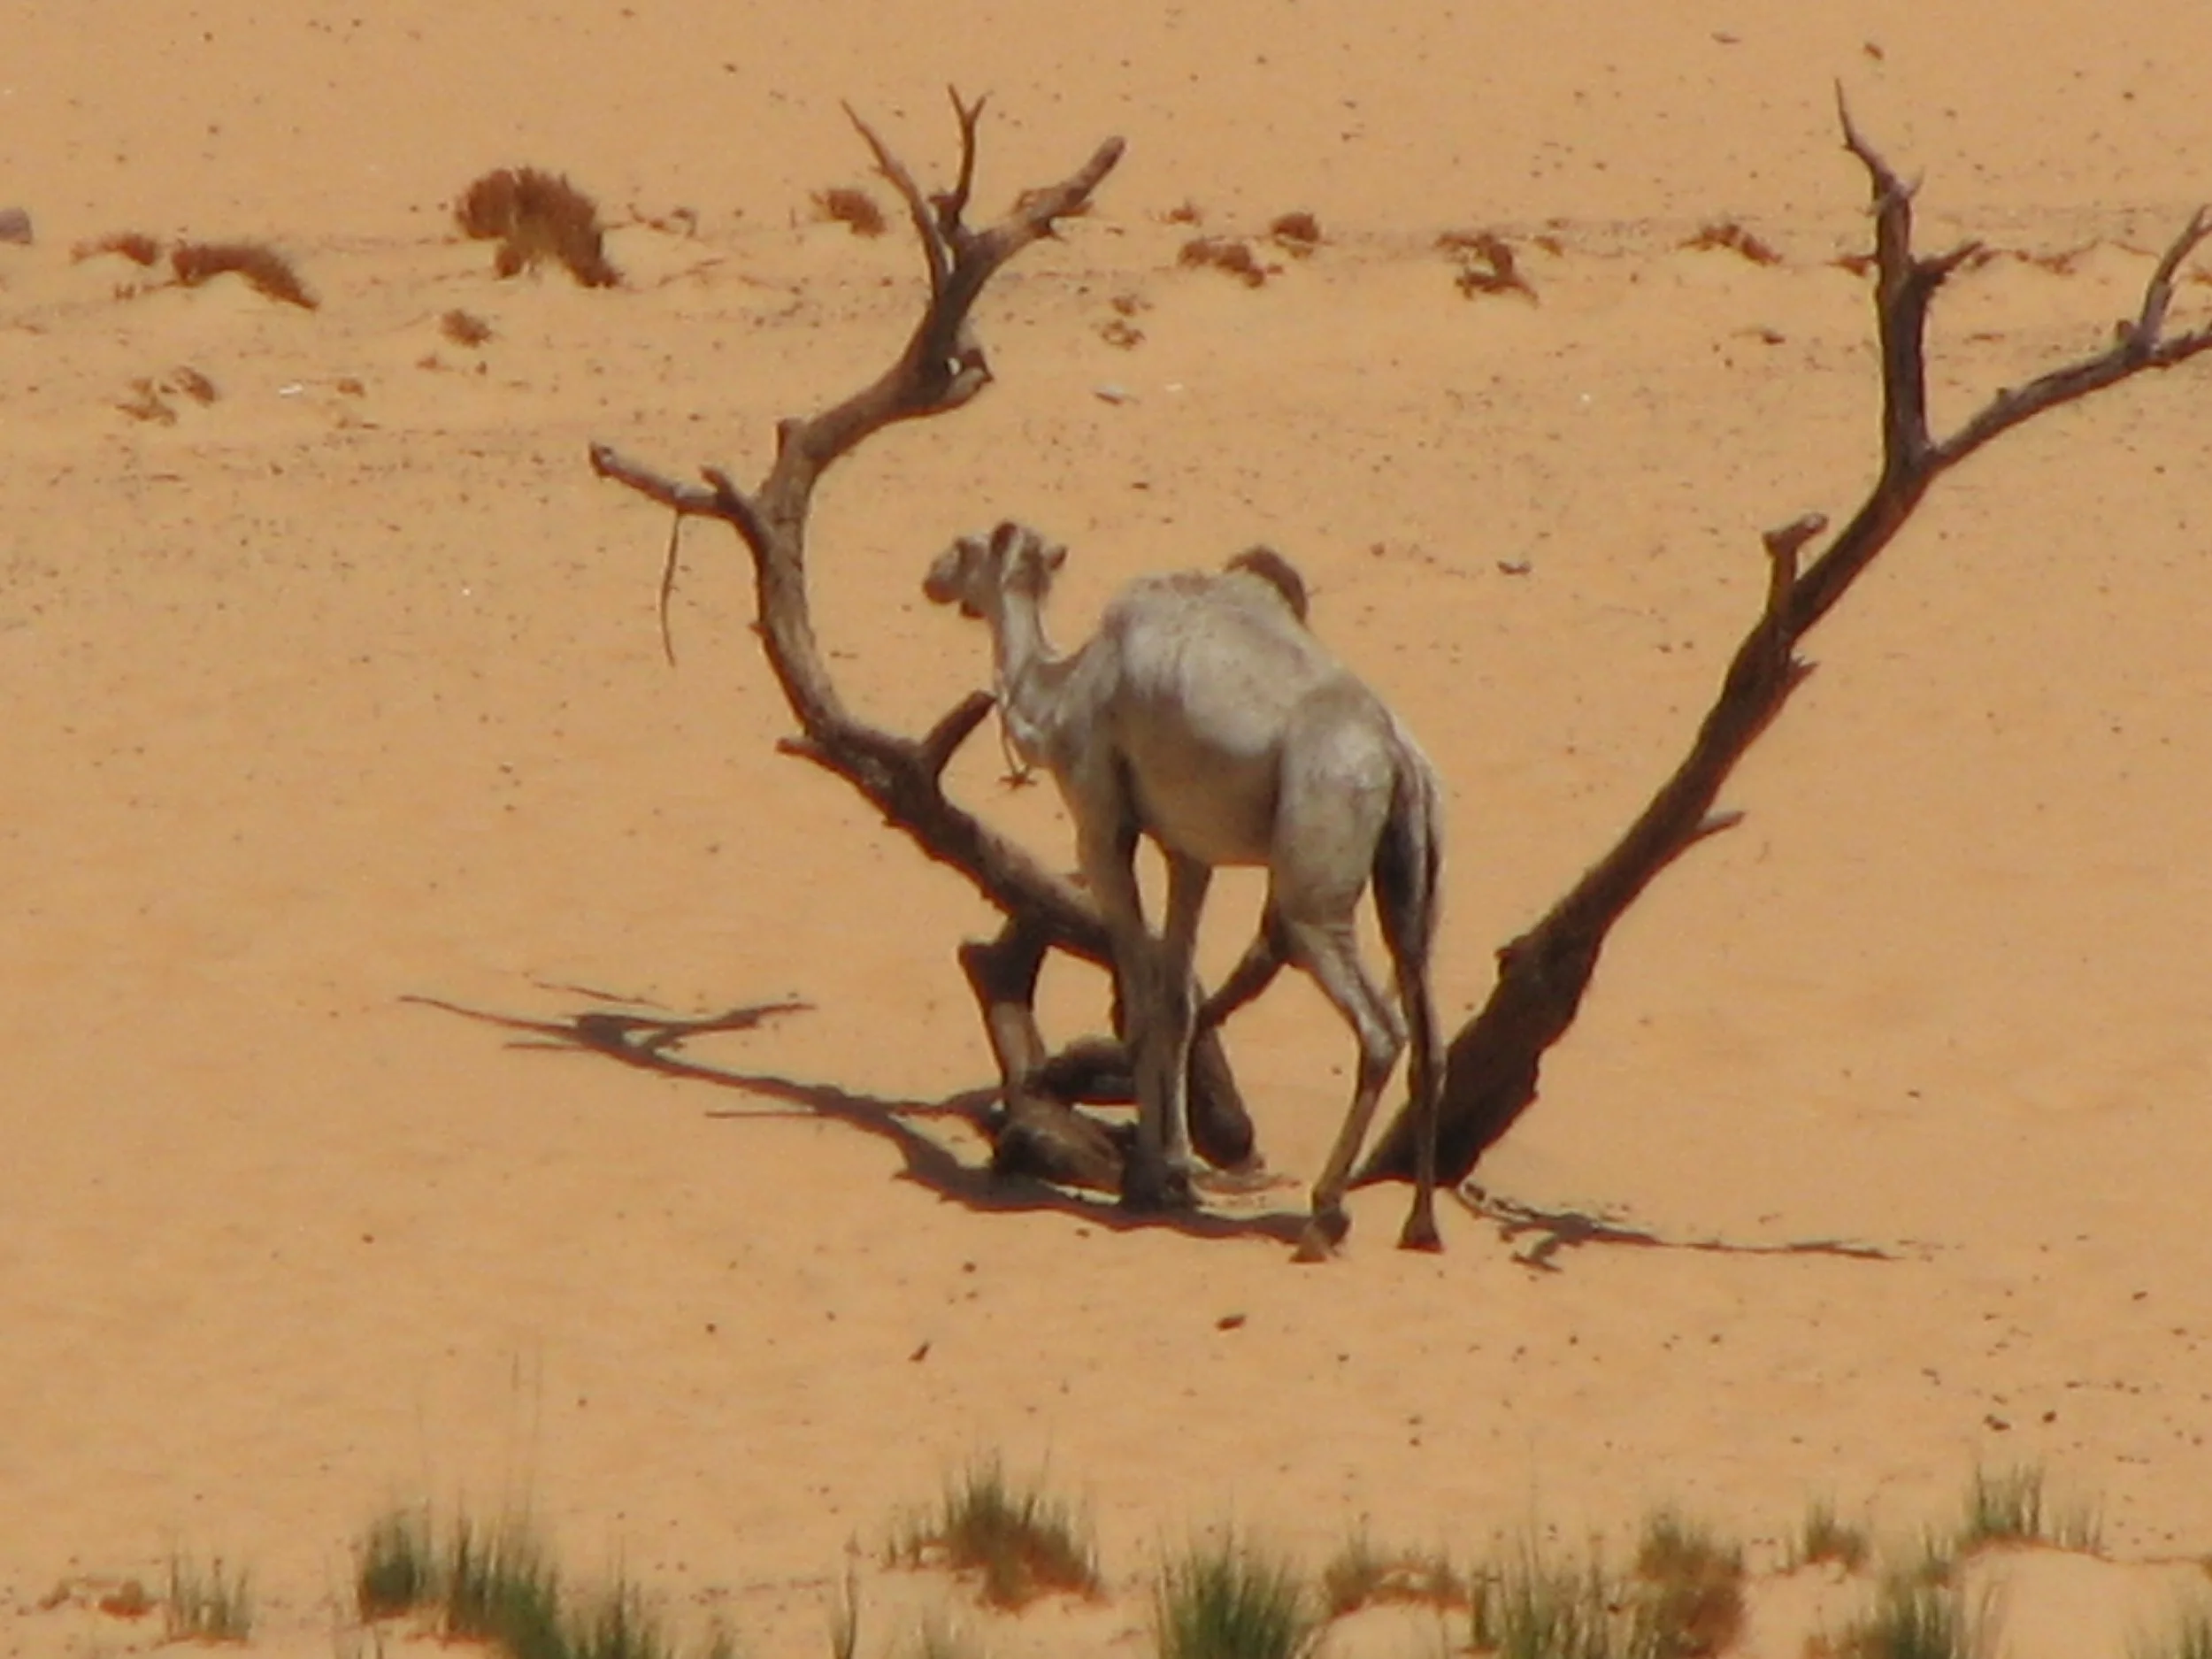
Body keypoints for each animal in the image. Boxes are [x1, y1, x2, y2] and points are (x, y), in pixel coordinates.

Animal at [923, 520, 1445, 1259]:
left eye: (965, 547)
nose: (933, 577)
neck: (1064, 690)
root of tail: (1397, 756)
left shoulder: (1102, 821)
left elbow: (1142, 996)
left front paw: (1146, 1178)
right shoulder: (1188, 851)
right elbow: (1177, 997)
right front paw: (1176, 1169)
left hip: (1317, 874)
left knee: (1377, 1024)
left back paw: (1325, 1215)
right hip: (1413, 872)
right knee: (1426, 1018)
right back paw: (1421, 1225)